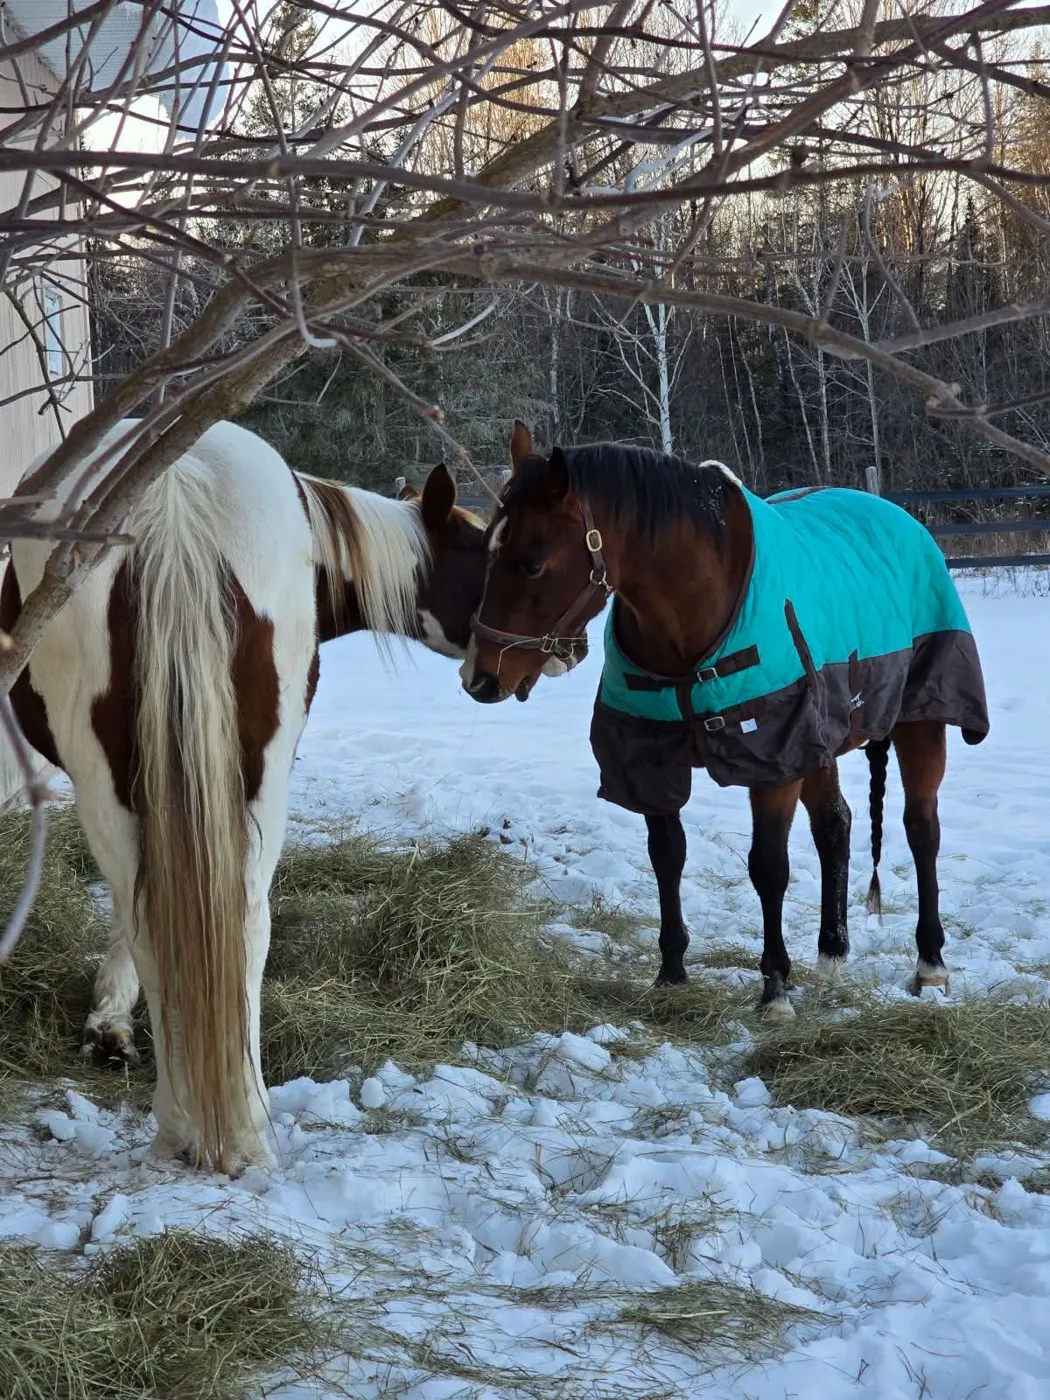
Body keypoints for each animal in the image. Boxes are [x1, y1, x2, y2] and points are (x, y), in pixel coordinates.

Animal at [1, 418, 487, 1174]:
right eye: (483, 549)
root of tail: (175, 495)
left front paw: (111, 1025)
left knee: (184, 919)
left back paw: (203, 1125)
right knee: (232, 918)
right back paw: (227, 1125)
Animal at [462, 424, 990, 1018]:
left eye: (531, 563)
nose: (480, 678)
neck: (693, 617)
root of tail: (900, 517)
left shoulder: (774, 760)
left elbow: (768, 868)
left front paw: (775, 988)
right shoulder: (652, 761)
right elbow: (667, 857)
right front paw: (671, 973)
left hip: (918, 723)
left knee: (922, 831)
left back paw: (929, 964)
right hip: (820, 742)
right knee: (835, 826)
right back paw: (831, 953)